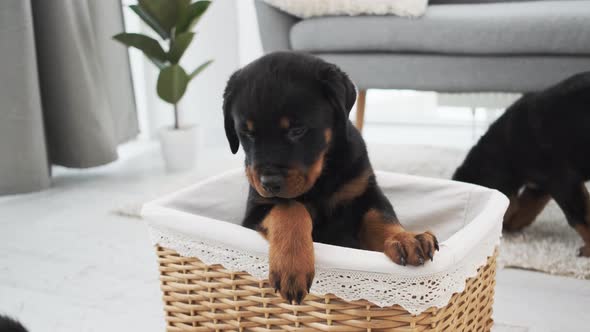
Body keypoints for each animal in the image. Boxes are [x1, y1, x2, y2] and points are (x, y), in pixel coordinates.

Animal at [222, 52, 440, 304]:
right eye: (247, 133)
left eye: (297, 130)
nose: (269, 183)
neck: (320, 180)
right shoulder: (257, 207)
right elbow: (290, 207)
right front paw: (292, 267)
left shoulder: (365, 191)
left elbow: (381, 217)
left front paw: (407, 238)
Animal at [454, 70, 590, 256]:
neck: (505, 150)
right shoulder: (540, 186)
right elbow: (524, 210)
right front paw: (511, 225)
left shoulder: (563, 181)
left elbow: (578, 217)